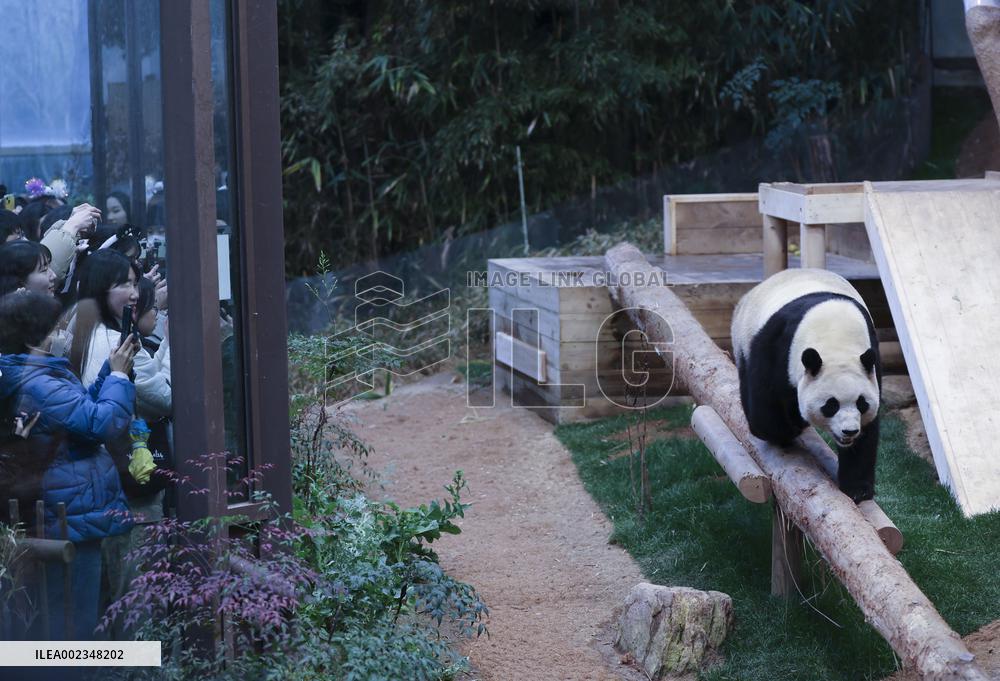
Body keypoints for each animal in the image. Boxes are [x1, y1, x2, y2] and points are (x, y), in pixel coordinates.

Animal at [730, 268, 882, 502]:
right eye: (831, 405)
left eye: (862, 403)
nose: (849, 431)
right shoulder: (778, 346)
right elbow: (766, 401)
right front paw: (784, 432)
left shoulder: (870, 359)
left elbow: (868, 432)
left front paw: (858, 489)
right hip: (743, 339)